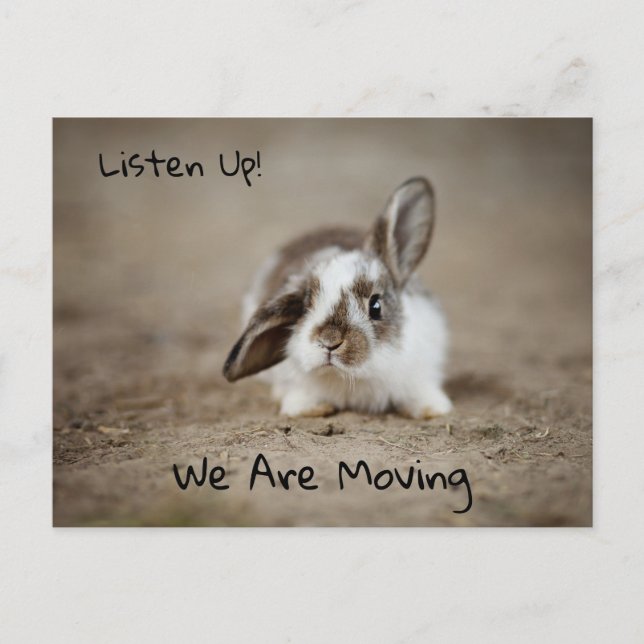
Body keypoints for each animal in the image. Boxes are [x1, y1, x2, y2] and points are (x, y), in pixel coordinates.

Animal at [223, 177, 452, 419]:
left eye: (376, 306)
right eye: (305, 306)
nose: (329, 342)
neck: (353, 378)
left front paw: (432, 409)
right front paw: (310, 408)